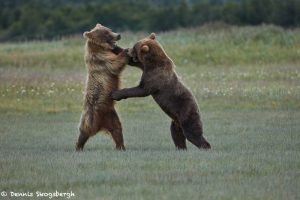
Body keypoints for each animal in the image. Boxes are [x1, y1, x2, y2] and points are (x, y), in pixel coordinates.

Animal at [75, 23, 129, 151]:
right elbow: (114, 64)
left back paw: (121, 146)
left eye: (109, 29)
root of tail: (100, 125)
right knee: (84, 130)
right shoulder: (101, 59)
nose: (118, 35)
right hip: (90, 115)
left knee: (117, 129)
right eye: (106, 33)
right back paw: (78, 147)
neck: (101, 48)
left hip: (111, 115)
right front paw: (126, 51)